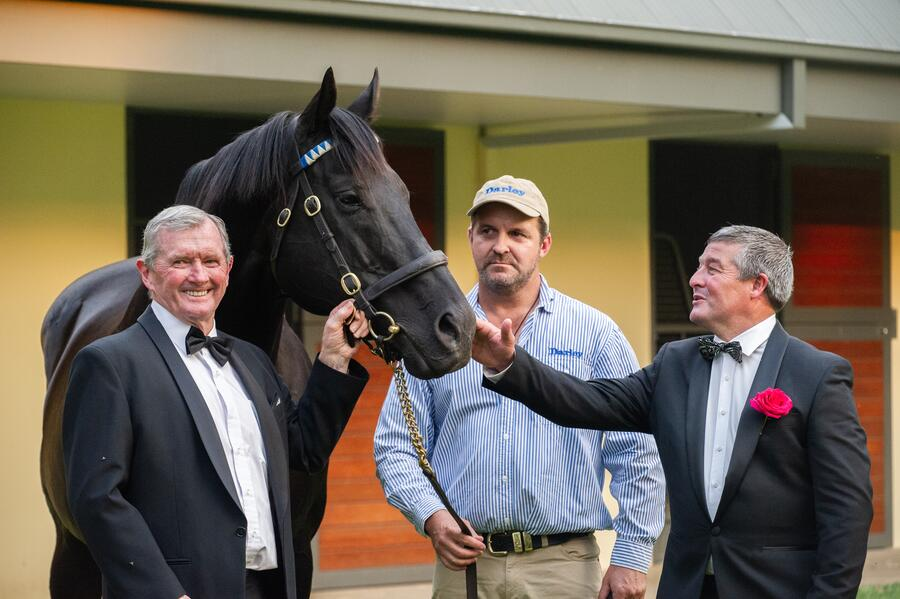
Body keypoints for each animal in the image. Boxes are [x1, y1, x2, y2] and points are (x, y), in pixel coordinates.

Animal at [40, 68, 478, 596]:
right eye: (349, 198)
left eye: (405, 196)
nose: (457, 327)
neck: (210, 341)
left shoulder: (297, 558)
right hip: (72, 554)